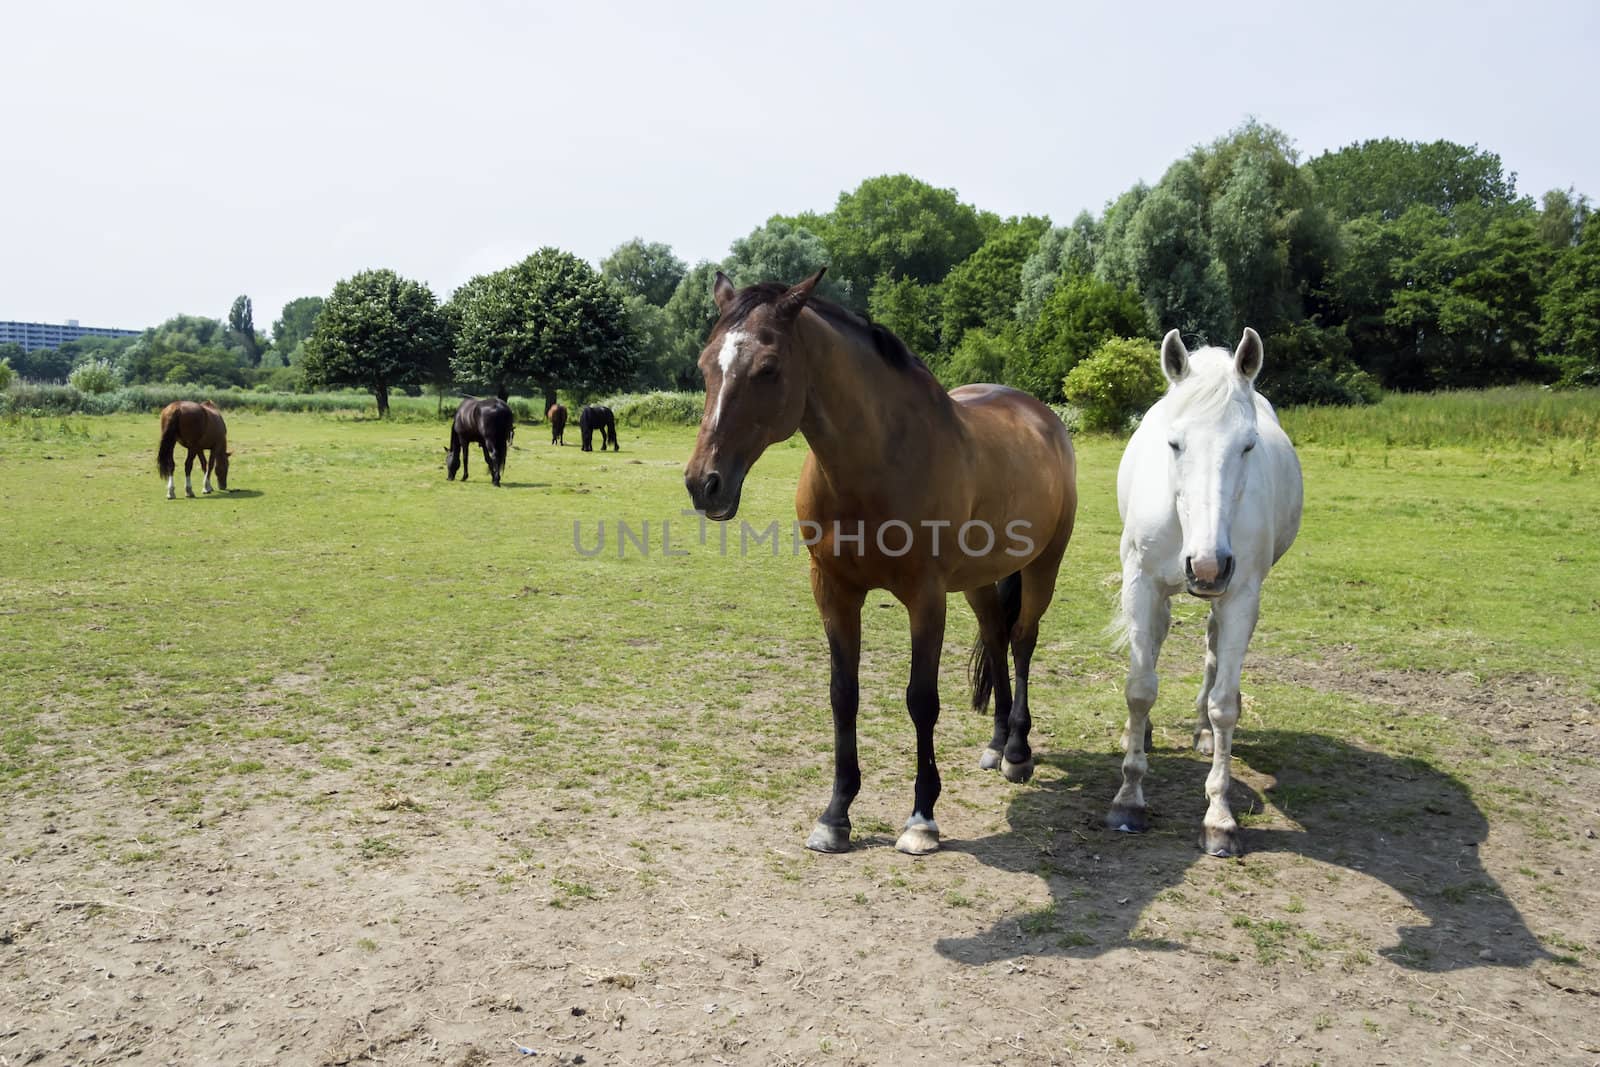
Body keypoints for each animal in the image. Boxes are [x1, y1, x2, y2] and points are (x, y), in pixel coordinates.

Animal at [681, 268, 1081, 857]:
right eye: (706, 364)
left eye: (768, 367)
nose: (703, 483)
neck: (876, 464)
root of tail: (1041, 416)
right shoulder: (834, 591)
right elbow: (843, 696)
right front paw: (835, 814)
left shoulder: (926, 598)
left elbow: (921, 699)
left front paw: (922, 817)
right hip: (978, 581)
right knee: (995, 635)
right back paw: (996, 742)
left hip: (1041, 567)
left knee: (1023, 641)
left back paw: (1017, 752)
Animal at [1113, 327, 1299, 857]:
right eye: (1175, 443)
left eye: (1249, 446)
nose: (1208, 565)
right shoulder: (1141, 584)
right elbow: (1140, 687)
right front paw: (1128, 798)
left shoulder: (1241, 596)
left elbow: (1225, 705)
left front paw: (1219, 817)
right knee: (1156, 643)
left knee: (1214, 651)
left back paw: (1200, 733)